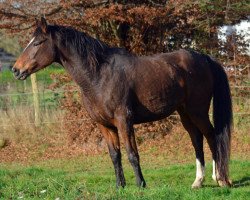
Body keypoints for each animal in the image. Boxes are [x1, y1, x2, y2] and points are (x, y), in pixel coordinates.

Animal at [13, 18, 232, 188]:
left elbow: (132, 154)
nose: (16, 70)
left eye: (38, 42)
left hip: (198, 111)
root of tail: (204, 58)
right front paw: (121, 186)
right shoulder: (105, 125)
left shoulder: (124, 121)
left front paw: (141, 185)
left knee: (211, 136)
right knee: (197, 139)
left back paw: (221, 179)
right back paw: (199, 181)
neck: (99, 76)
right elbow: (114, 155)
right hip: (184, 112)